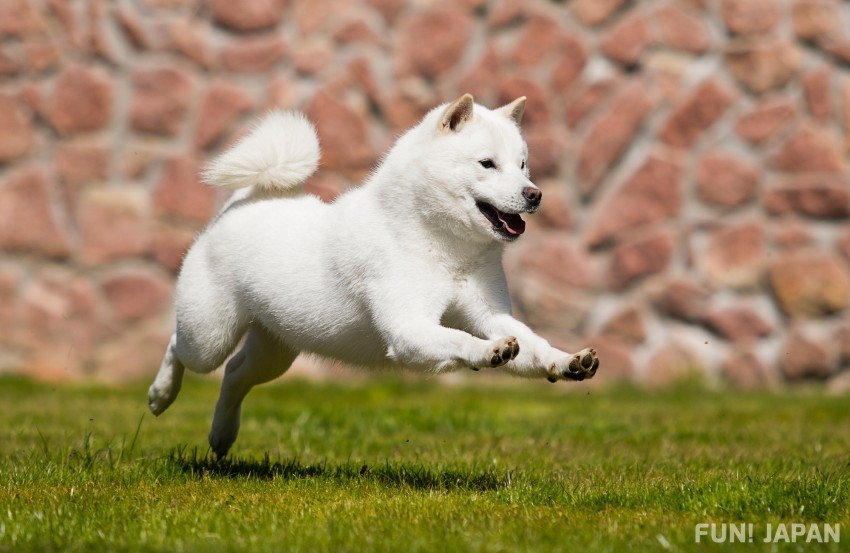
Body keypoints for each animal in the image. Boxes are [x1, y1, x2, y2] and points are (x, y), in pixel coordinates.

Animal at [146, 96, 596, 458]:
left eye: (523, 165)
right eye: (487, 164)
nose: (535, 194)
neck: (440, 246)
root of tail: (243, 201)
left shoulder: (491, 314)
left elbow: (535, 347)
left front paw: (569, 361)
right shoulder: (408, 328)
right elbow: (459, 339)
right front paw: (489, 351)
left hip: (275, 349)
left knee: (236, 375)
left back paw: (222, 435)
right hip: (210, 335)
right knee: (179, 346)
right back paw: (160, 396)